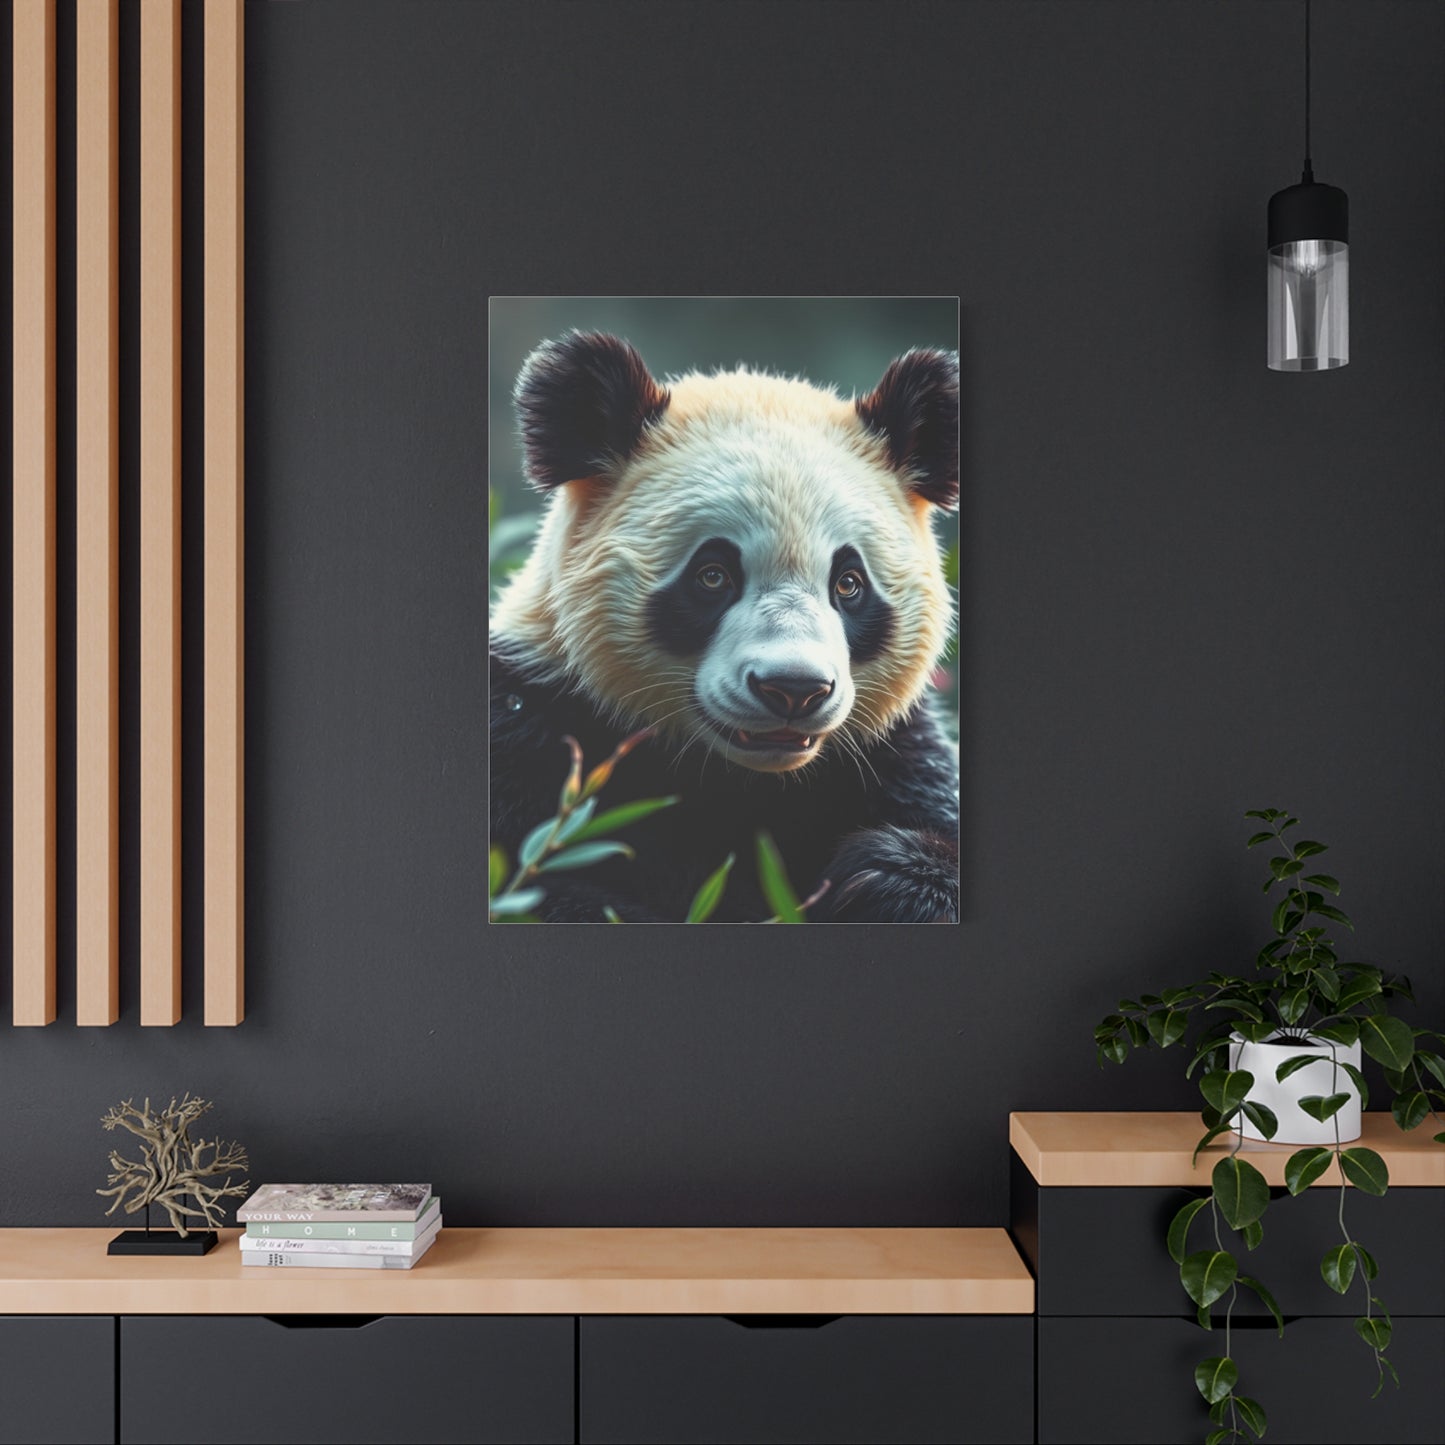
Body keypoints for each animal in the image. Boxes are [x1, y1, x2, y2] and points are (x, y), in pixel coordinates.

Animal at [490, 330, 959, 923]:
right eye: (713, 575)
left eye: (849, 583)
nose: (794, 689)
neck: (742, 778)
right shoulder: (530, 727)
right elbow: (540, 887)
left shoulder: (892, 755)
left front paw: (883, 879)